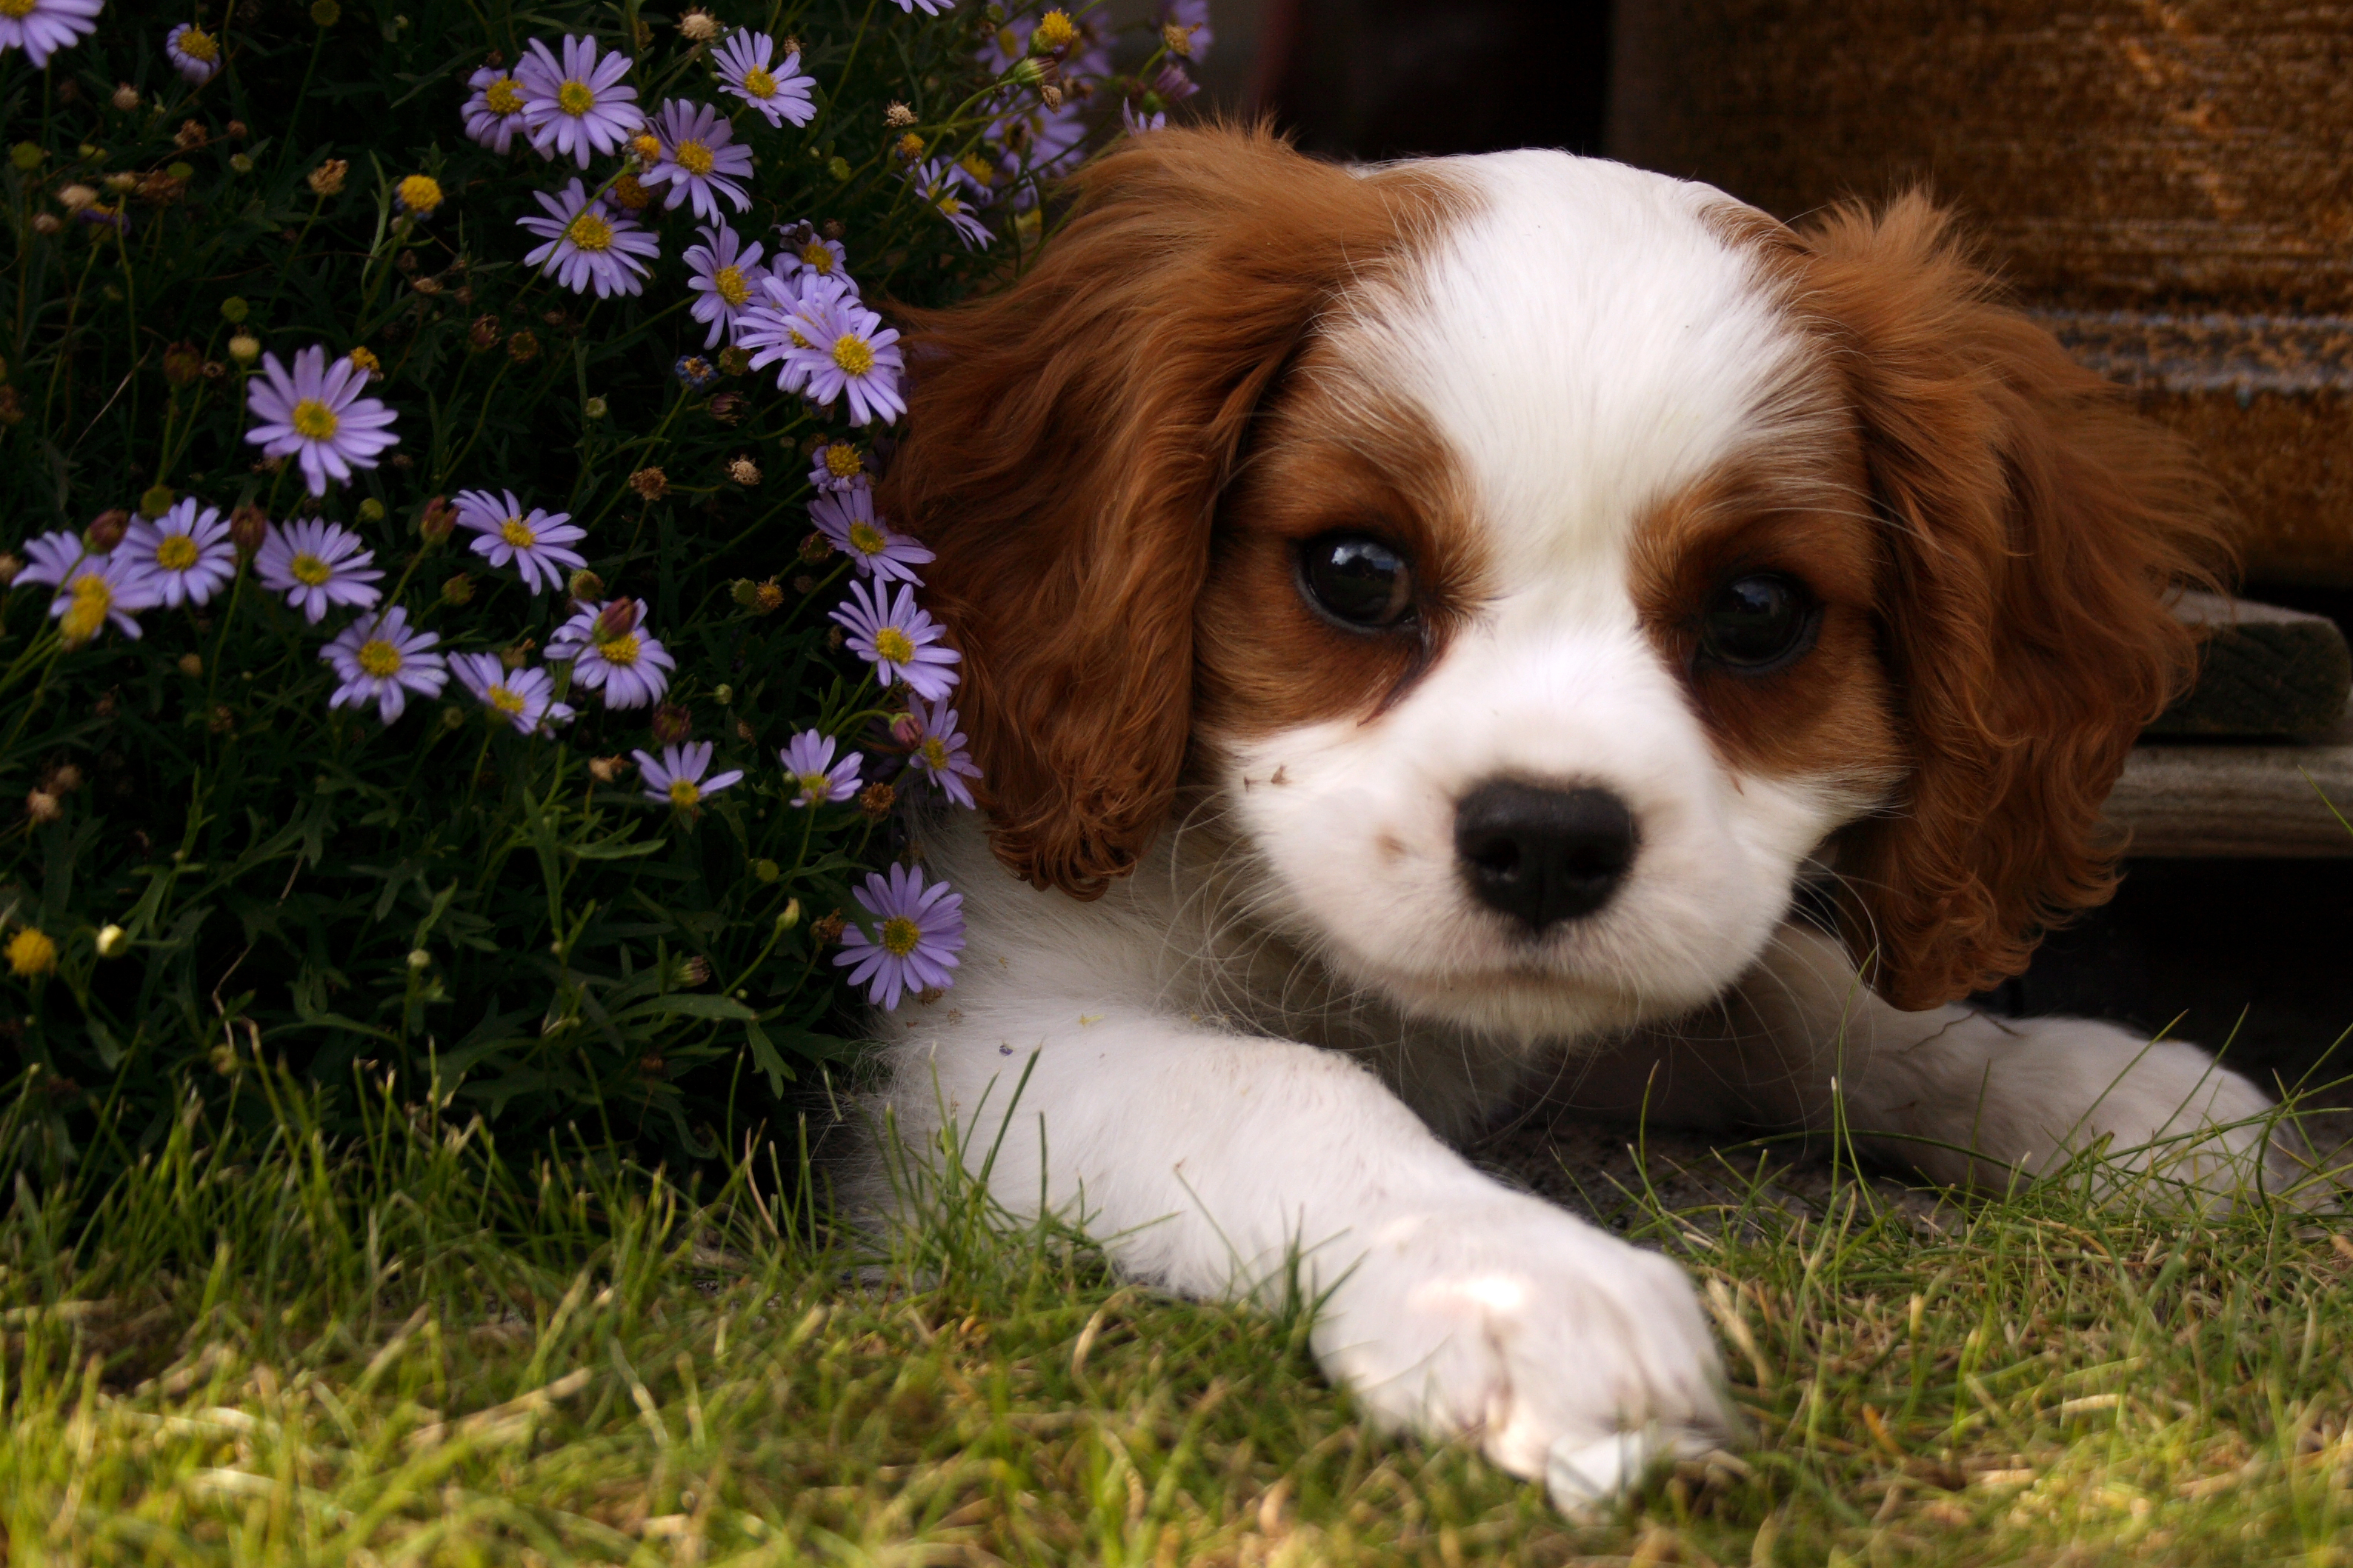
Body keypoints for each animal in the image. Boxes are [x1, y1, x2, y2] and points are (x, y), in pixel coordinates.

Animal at [865, 131, 2277, 1504]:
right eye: (1355, 573)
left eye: (1757, 610)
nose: (1546, 839)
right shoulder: (964, 1052)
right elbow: (1270, 1079)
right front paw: (1514, 1284)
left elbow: (1802, 1005)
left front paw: (2086, 1089)